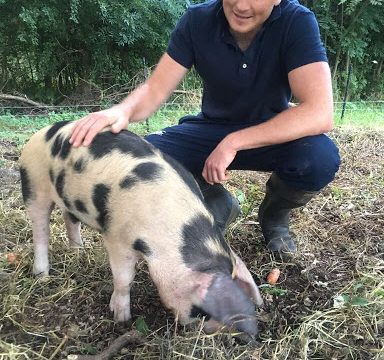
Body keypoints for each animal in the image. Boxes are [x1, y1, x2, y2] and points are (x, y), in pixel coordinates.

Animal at [19, 121, 262, 340]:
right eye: (202, 311)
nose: (209, 331)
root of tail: (39, 134)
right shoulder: (117, 236)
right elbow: (124, 278)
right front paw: (121, 318)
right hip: (33, 183)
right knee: (40, 229)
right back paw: (42, 275)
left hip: (68, 198)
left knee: (70, 219)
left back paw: (78, 251)